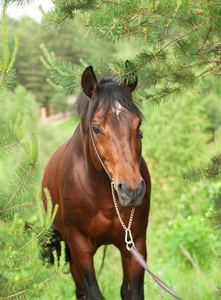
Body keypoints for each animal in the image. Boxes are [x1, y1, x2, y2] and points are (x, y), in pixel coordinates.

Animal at [41, 67, 151, 298]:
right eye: (96, 128)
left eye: (138, 123)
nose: (132, 190)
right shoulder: (80, 250)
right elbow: (92, 293)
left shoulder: (135, 244)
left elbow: (132, 292)